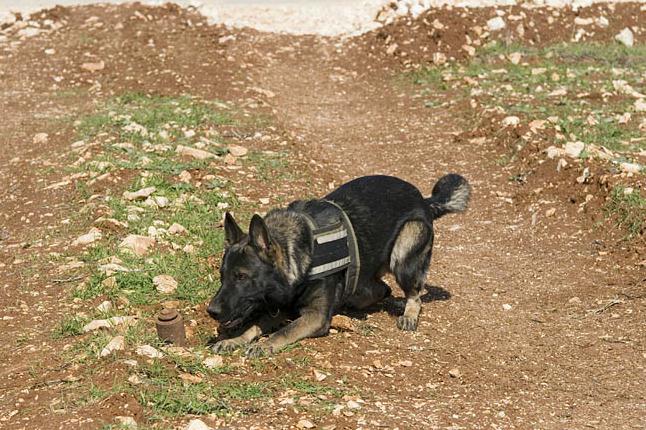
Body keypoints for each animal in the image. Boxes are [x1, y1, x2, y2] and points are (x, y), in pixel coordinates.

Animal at [208, 173, 470, 358]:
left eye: (242, 276)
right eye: (222, 275)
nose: (212, 311)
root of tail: (424, 200)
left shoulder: (315, 316)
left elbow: (285, 330)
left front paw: (266, 344)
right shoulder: (280, 308)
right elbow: (254, 325)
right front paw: (233, 340)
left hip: (403, 253)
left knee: (414, 293)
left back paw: (409, 314)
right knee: (381, 289)